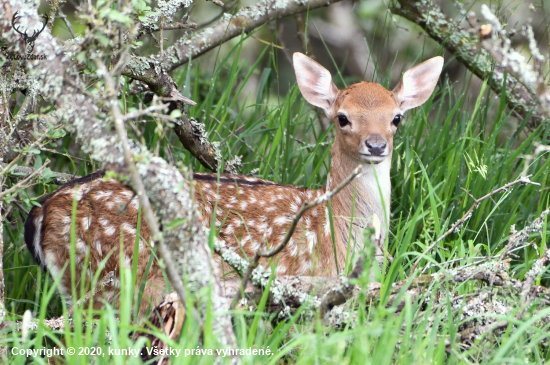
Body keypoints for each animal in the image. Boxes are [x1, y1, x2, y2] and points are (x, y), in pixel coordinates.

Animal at [24, 52, 444, 314]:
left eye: (396, 118)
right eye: (343, 118)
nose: (376, 145)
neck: (337, 223)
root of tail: (42, 210)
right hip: (110, 281)